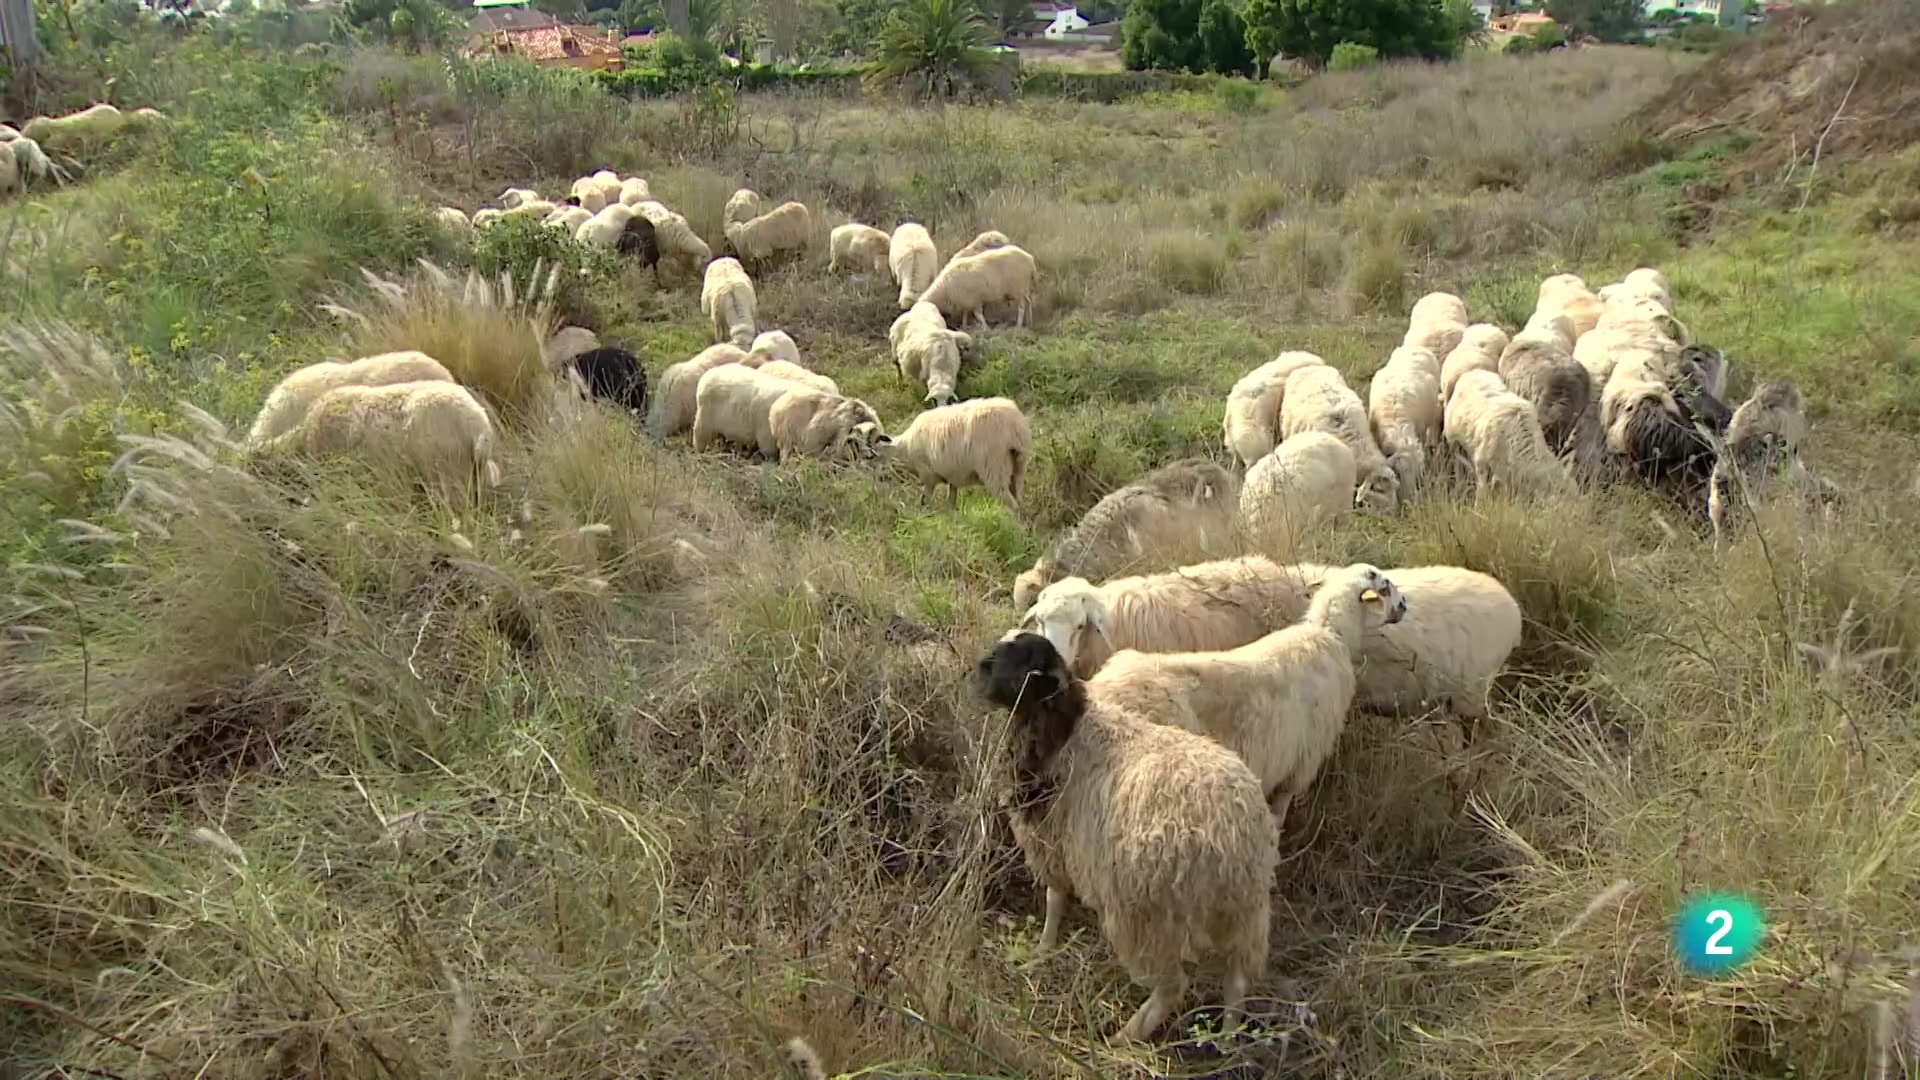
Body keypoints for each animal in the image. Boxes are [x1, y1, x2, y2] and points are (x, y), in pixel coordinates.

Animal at [875, 397, 1029, 511]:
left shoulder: (928, 475)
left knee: (1011, 504)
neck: (904, 448)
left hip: (994, 468)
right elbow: (952, 497)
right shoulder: (952, 474)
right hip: (1018, 466)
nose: (879, 492)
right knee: (1018, 500)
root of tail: (1015, 428)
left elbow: (926, 498)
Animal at [975, 632, 1276, 1045]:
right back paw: (1228, 1038)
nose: (980, 670)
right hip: (1245, 915)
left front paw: (1043, 948)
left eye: (1023, 663)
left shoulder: (1051, 842)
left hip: (1147, 916)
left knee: (1171, 986)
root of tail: (1236, 837)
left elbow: (1054, 898)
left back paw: (1125, 1037)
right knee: (1238, 979)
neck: (1065, 726)